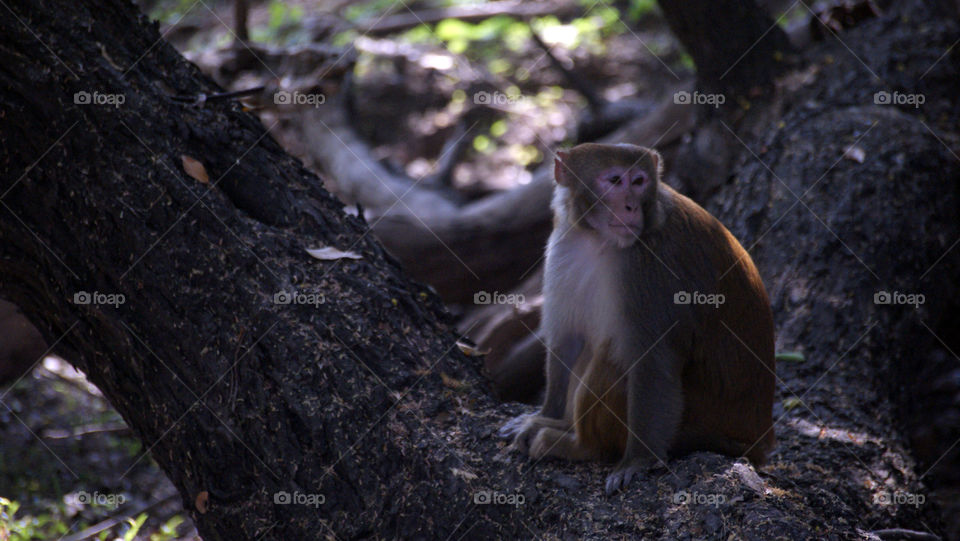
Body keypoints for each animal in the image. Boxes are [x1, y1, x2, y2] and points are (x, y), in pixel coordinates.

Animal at [499, 143, 775, 494]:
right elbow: (568, 340)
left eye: (640, 181)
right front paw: (545, 412)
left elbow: (653, 360)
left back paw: (580, 446)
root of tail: (757, 442)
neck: (598, 239)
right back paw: (558, 424)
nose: (630, 207)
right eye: (616, 180)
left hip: (698, 427)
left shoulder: (651, 266)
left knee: (613, 357)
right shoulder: (565, 243)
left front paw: (637, 461)